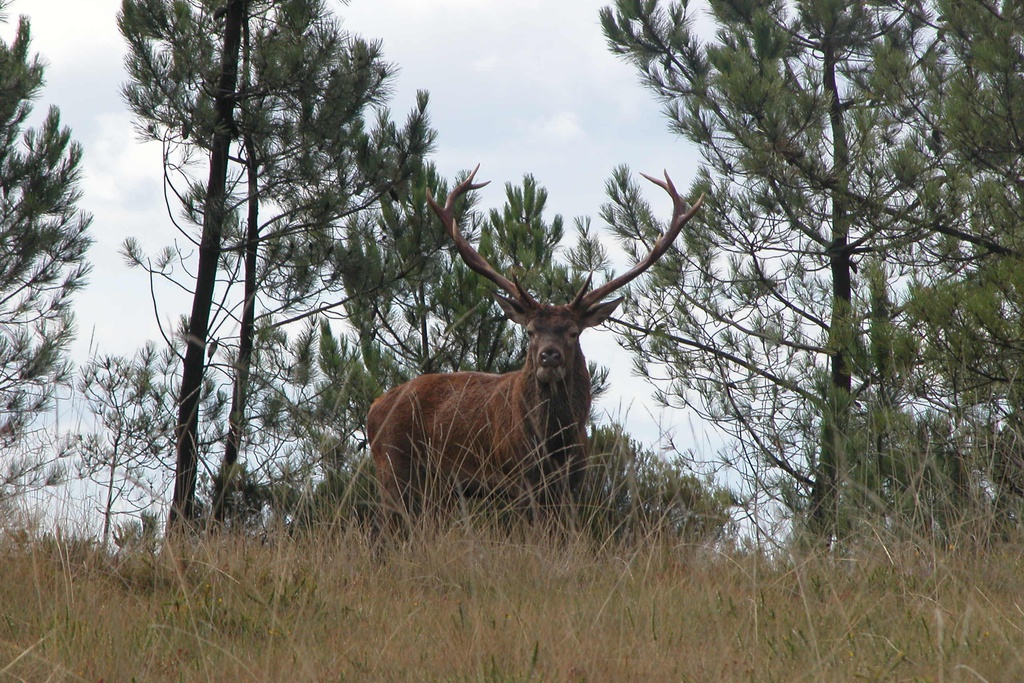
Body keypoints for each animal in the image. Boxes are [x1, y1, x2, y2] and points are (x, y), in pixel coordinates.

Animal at [366, 166, 703, 532]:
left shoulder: (573, 481)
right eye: (529, 331)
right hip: (394, 469)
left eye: (573, 332)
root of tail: (373, 408)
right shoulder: (517, 478)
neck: (554, 443)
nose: (549, 356)